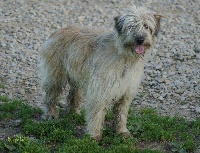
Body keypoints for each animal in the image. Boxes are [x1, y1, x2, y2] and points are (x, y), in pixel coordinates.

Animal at [39, 5, 162, 141]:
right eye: (130, 26)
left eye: (146, 26)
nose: (140, 39)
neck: (125, 56)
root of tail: (57, 31)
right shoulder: (100, 92)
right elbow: (96, 115)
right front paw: (93, 136)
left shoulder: (126, 93)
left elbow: (121, 114)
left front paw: (122, 131)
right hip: (55, 76)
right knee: (51, 96)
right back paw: (51, 114)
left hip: (77, 78)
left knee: (73, 95)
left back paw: (73, 113)